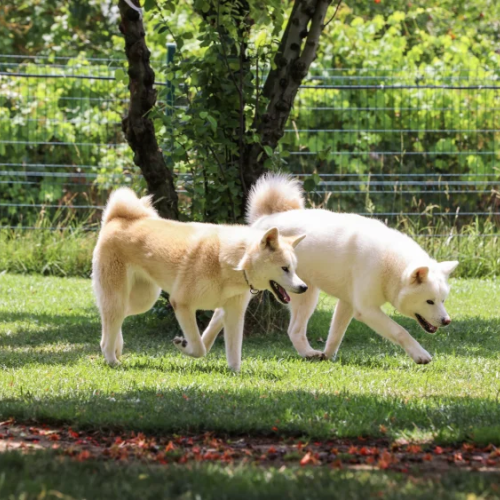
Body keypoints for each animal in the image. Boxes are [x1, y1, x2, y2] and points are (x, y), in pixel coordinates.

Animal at [92, 188, 306, 372]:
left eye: (294, 268)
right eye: (285, 268)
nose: (303, 287)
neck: (229, 263)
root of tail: (115, 219)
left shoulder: (233, 312)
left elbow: (230, 349)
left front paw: (235, 373)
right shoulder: (181, 304)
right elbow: (199, 347)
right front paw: (184, 345)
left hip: (143, 300)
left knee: (114, 319)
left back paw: (117, 347)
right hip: (120, 297)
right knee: (109, 326)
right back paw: (112, 359)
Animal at [203, 174, 458, 366]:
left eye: (443, 300)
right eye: (429, 301)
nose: (447, 321)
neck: (389, 264)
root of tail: (267, 218)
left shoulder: (347, 304)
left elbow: (336, 334)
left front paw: (328, 356)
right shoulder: (367, 310)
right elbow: (400, 331)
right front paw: (420, 355)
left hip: (304, 293)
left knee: (290, 329)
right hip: (262, 289)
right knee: (226, 316)